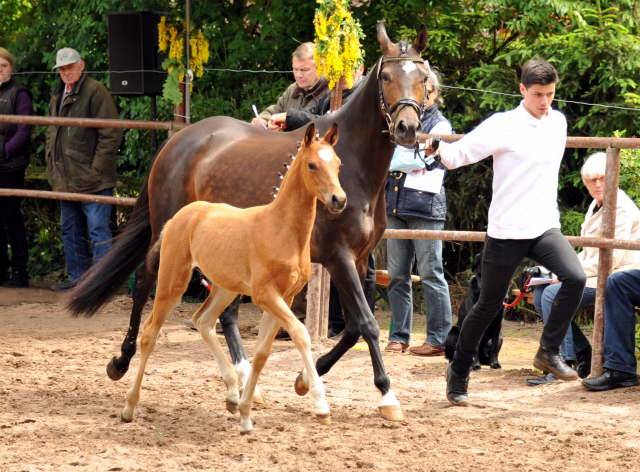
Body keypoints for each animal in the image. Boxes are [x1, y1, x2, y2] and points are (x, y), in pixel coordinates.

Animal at [119, 123, 344, 434]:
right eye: (312, 165)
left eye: (338, 164)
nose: (339, 200)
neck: (281, 230)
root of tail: (181, 215)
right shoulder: (265, 295)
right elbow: (301, 334)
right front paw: (321, 405)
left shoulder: (283, 298)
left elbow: (262, 353)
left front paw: (246, 415)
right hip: (172, 281)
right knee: (150, 332)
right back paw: (129, 406)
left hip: (225, 288)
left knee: (203, 320)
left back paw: (231, 395)